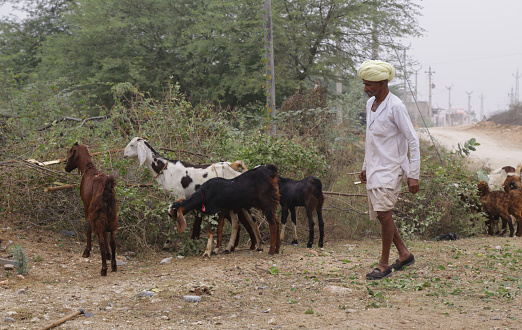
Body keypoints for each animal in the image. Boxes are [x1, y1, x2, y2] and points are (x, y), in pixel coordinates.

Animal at [65, 143, 118, 274]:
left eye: (69, 153)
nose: (66, 168)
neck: (88, 169)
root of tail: (107, 189)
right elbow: (106, 234)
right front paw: (108, 255)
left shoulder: (86, 205)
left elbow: (87, 226)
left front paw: (87, 251)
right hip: (112, 215)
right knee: (112, 241)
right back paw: (113, 265)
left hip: (97, 213)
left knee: (101, 241)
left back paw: (104, 269)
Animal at [121, 137, 260, 250]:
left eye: (132, 145)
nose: (124, 154)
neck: (165, 169)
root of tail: (234, 167)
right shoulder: (171, 198)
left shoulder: (179, 196)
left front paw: (168, 243)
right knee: (247, 220)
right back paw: (250, 245)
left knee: (246, 221)